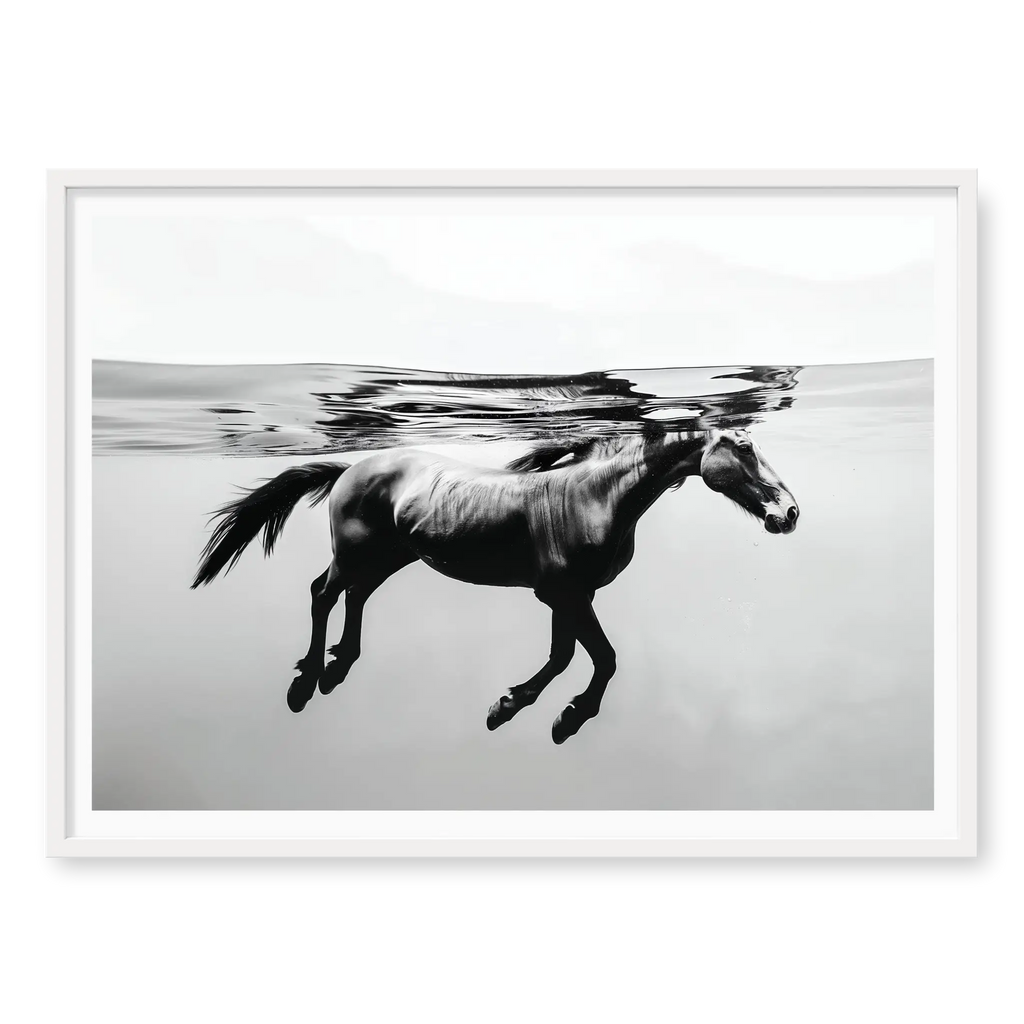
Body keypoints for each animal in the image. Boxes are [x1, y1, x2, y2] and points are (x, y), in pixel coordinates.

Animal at [191, 427, 799, 743]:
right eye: (744, 447)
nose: (788, 513)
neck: (596, 497)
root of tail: (349, 469)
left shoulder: (570, 597)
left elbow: (568, 656)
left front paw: (523, 710)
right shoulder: (564, 594)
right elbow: (595, 657)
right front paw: (553, 715)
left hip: (390, 558)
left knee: (353, 598)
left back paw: (336, 670)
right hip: (357, 554)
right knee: (323, 592)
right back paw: (305, 682)